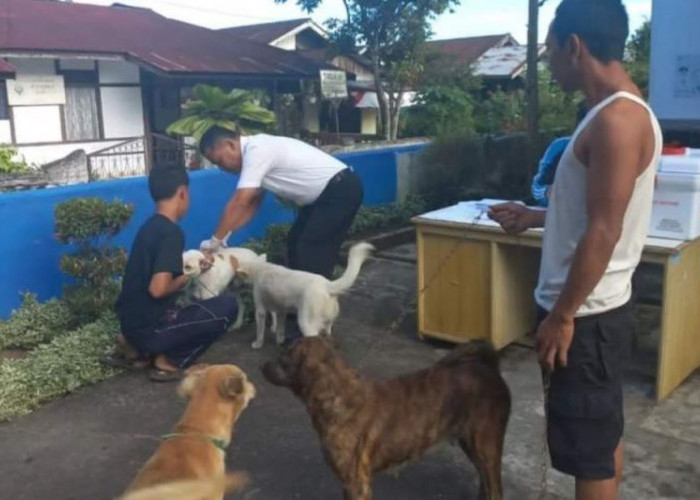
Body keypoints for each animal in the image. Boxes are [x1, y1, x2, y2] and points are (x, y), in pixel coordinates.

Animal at [260, 338, 512, 498]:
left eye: (284, 356)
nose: (262, 365)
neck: (337, 394)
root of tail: (487, 366)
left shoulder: (356, 482)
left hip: (486, 447)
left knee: (495, 489)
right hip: (472, 445)